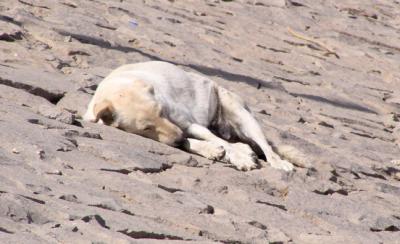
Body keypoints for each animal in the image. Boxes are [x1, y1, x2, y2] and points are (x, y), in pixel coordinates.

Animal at [83, 61, 294, 172]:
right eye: (146, 128)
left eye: (161, 111)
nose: (178, 136)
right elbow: (192, 142)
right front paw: (212, 151)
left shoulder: (188, 124)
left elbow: (212, 140)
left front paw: (238, 158)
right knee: (239, 143)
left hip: (243, 116)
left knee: (266, 148)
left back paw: (279, 162)